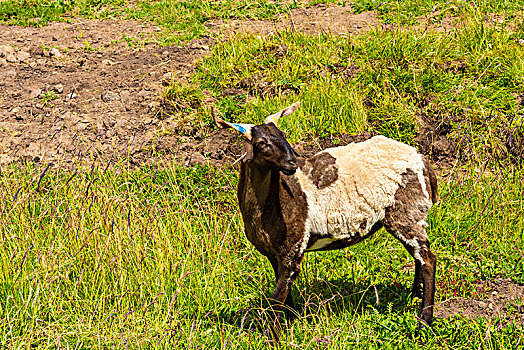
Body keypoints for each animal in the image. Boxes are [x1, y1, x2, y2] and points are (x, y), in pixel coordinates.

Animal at [213, 102, 438, 340]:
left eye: (284, 135)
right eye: (261, 143)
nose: (292, 162)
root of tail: (421, 159)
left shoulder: (293, 247)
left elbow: (277, 299)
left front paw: (273, 336)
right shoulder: (274, 253)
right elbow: (283, 293)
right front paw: (291, 321)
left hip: (407, 212)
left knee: (428, 259)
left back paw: (424, 322)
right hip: (410, 216)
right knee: (419, 257)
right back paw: (414, 296)